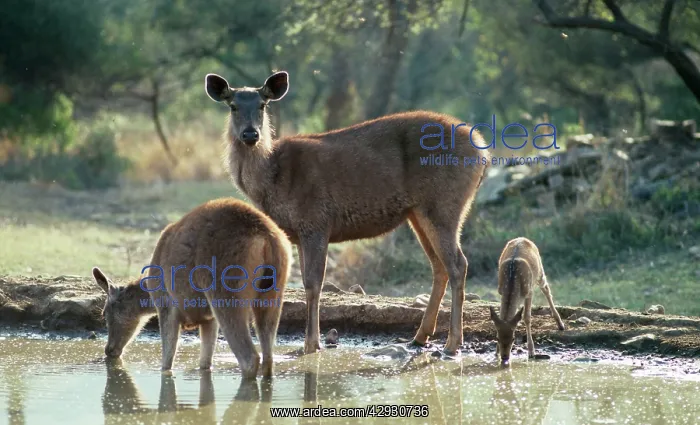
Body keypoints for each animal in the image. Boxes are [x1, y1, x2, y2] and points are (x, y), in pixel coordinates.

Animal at [92, 197, 292, 379]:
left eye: (104, 313)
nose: (109, 349)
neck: (149, 292)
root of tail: (266, 238)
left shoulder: (167, 305)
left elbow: (167, 363)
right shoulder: (209, 318)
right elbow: (205, 363)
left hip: (226, 289)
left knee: (249, 357)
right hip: (274, 292)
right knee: (268, 357)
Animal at [204, 70, 490, 356]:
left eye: (263, 105)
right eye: (233, 106)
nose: (250, 134)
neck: (271, 181)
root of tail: (482, 152)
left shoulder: (316, 220)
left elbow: (313, 283)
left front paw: (312, 344)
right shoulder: (298, 232)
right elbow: (302, 282)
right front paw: (312, 341)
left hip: (444, 204)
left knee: (458, 264)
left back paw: (453, 343)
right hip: (418, 212)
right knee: (439, 266)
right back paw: (420, 337)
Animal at [489, 237, 566, 366]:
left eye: (513, 339)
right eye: (497, 338)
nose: (504, 357)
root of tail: (522, 238)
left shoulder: (528, 291)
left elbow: (527, 317)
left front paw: (531, 352)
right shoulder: (500, 291)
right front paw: (495, 353)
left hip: (540, 272)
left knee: (546, 289)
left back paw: (560, 324)